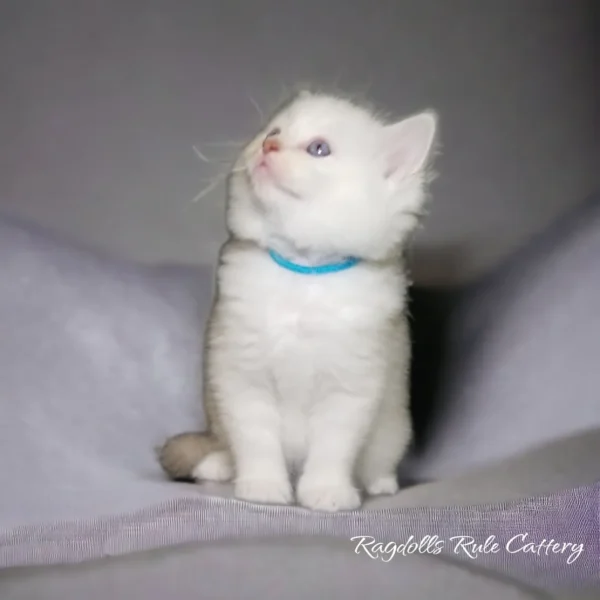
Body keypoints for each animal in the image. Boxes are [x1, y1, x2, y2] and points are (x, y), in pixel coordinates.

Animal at [159, 90, 436, 510]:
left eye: (318, 149)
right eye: (273, 132)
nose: (268, 145)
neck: (303, 274)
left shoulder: (351, 385)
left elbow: (333, 447)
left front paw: (326, 491)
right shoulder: (240, 374)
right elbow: (256, 438)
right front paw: (263, 486)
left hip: (394, 426)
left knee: (381, 458)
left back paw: (379, 482)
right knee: (222, 442)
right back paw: (219, 465)